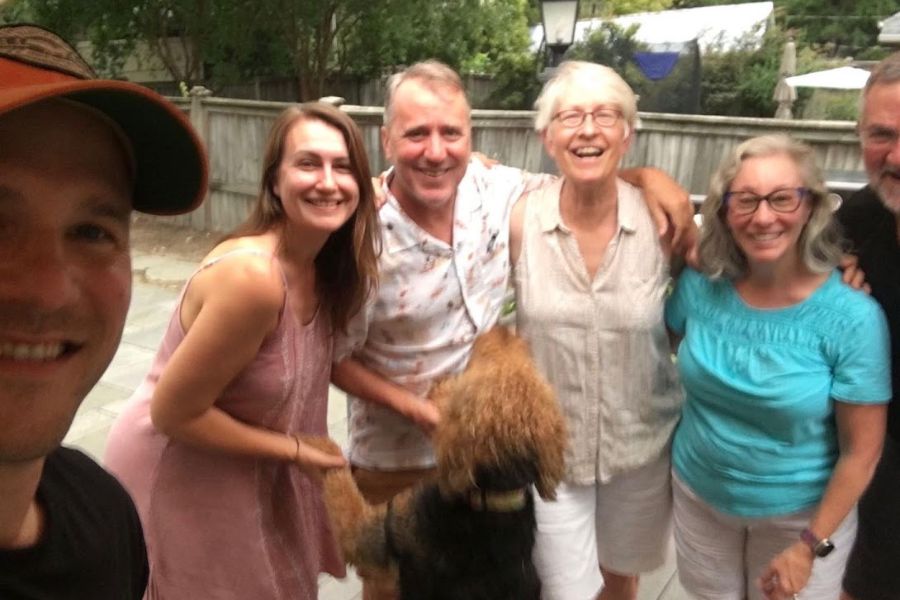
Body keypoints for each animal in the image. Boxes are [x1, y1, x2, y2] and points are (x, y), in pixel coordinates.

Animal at [306, 328, 568, 600]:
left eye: (478, 367)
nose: (501, 330)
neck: (494, 492)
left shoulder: (367, 537)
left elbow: (339, 481)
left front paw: (315, 445)